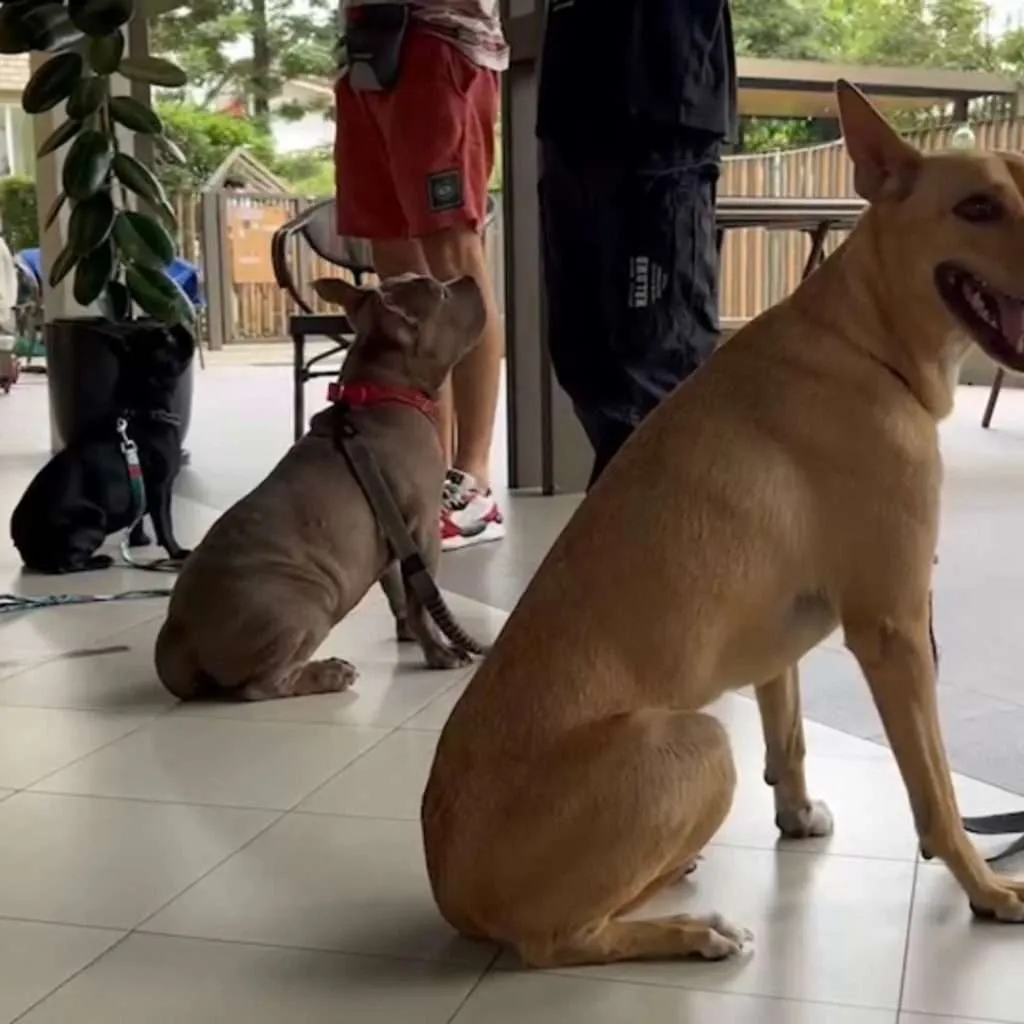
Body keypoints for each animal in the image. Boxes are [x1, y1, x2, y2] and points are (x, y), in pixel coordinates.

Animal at [10, 324, 194, 574]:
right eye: (166, 337)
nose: (178, 325)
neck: (141, 408)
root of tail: (22, 544)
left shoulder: (142, 491)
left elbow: (137, 519)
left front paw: (138, 541)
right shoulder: (160, 489)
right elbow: (165, 525)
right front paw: (178, 553)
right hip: (94, 522)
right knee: (66, 564)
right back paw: (99, 560)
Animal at [154, 273, 485, 702]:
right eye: (443, 293)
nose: (470, 278)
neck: (382, 390)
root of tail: (179, 637)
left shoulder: (394, 536)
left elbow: (399, 592)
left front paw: (410, 634)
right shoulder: (423, 530)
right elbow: (422, 600)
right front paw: (441, 652)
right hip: (308, 605)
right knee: (261, 685)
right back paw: (329, 673)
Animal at [421, 80, 1024, 968]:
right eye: (978, 207)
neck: (864, 340)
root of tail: (449, 890)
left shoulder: (785, 641)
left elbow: (791, 730)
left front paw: (797, 812)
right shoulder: (897, 631)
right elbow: (937, 792)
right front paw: (983, 886)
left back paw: (672, 871)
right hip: (696, 743)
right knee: (562, 940)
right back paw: (689, 929)